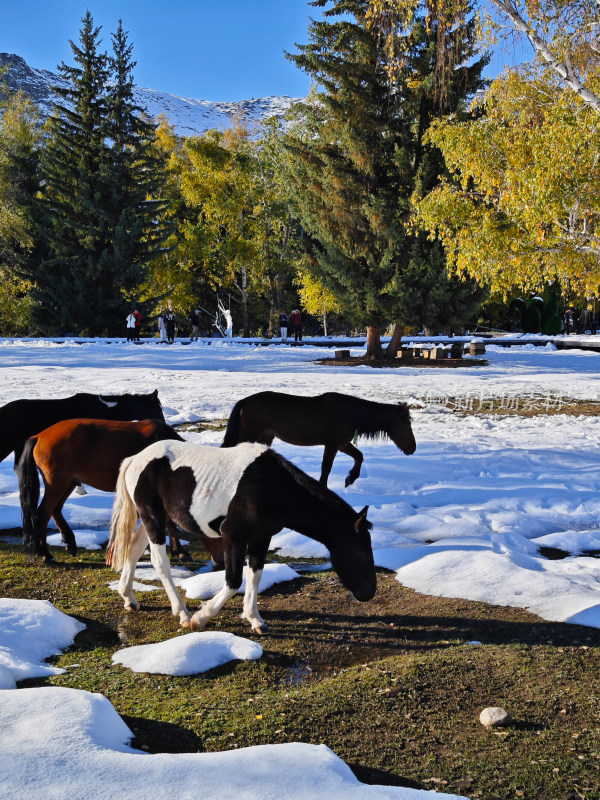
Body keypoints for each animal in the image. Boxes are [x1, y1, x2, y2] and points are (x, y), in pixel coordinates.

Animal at [18, 416, 225, 564]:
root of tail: (39, 436)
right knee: (43, 514)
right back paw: (45, 554)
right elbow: (168, 523)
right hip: (58, 483)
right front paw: (179, 551)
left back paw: (69, 542)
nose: (222, 561)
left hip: (68, 482)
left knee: (55, 510)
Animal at [108, 438, 376, 632]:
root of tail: (135, 459)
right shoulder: (233, 538)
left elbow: (255, 574)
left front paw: (255, 618)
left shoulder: (261, 538)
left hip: (157, 518)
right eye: (361, 552)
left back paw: (129, 598)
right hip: (152, 517)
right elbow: (234, 580)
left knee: (134, 549)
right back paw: (183, 613)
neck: (271, 487)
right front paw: (201, 618)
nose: (369, 593)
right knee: (159, 562)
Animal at [221, 392, 418, 488]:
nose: (412, 448)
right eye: (407, 424)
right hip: (248, 436)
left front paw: (350, 478)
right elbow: (326, 469)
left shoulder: (342, 444)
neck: (349, 414)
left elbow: (359, 456)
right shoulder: (332, 445)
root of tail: (245, 401)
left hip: (264, 438)